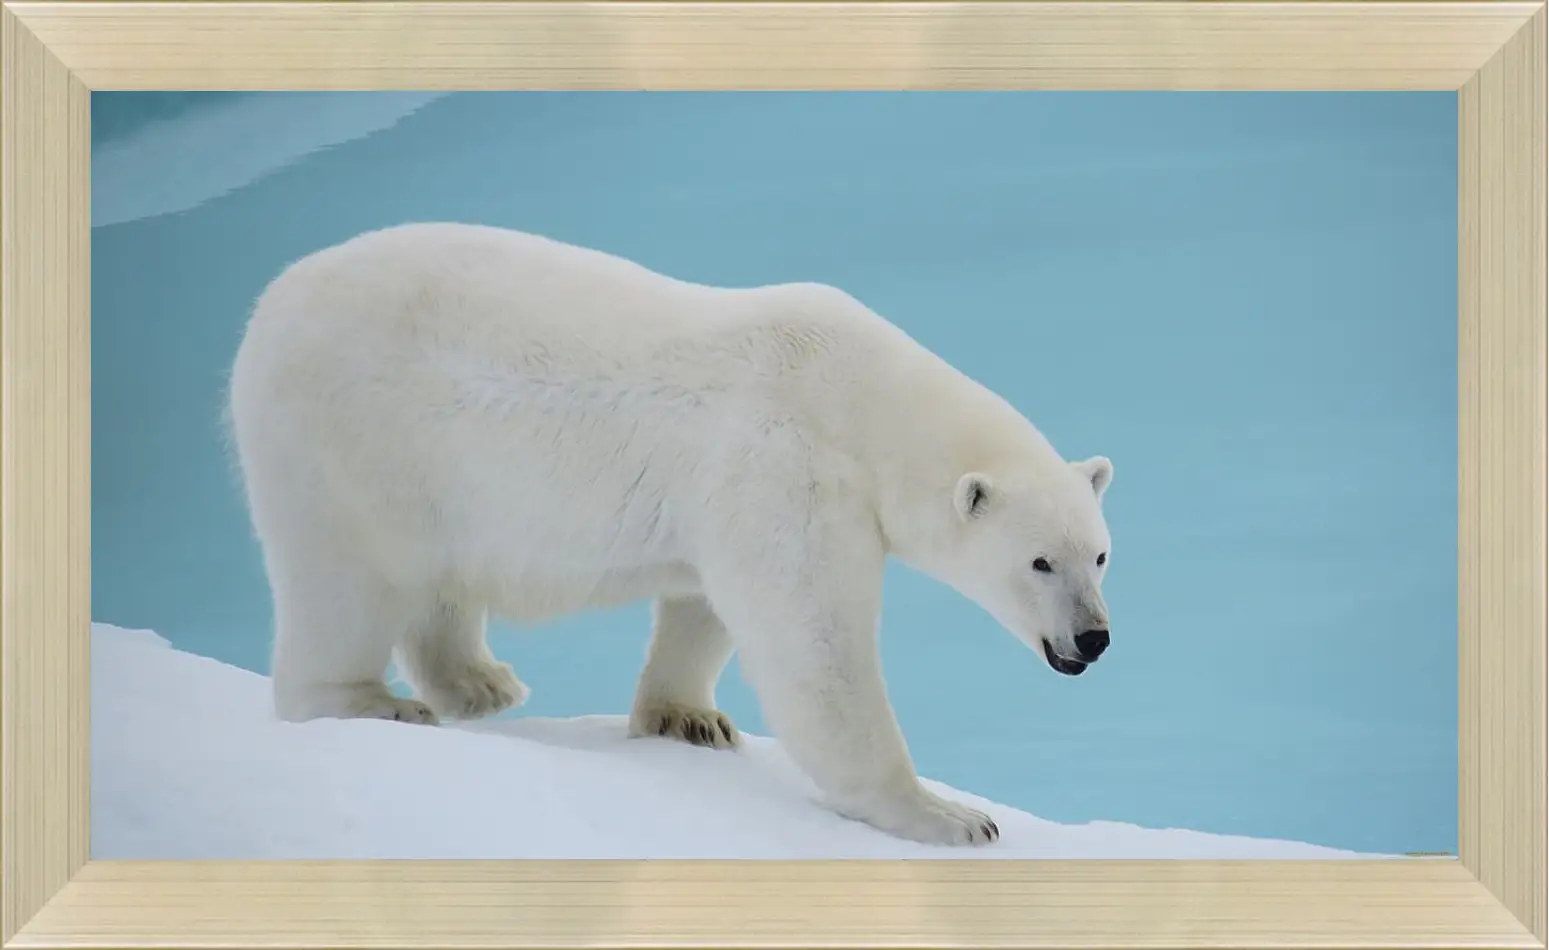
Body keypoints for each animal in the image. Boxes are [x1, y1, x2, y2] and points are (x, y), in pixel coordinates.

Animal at [226, 221, 1115, 843]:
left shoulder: (736, 490)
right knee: (345, 582)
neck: (857, 397)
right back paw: (370, 701)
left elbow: (705, 604)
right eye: (1039, 562)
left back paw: (480, 681)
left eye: (1101, 554)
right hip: (350, 439)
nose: (1093, 637)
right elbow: (813, 644)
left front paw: (688, 718)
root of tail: (271, 304)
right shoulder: (786, 466)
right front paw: (948, 814)